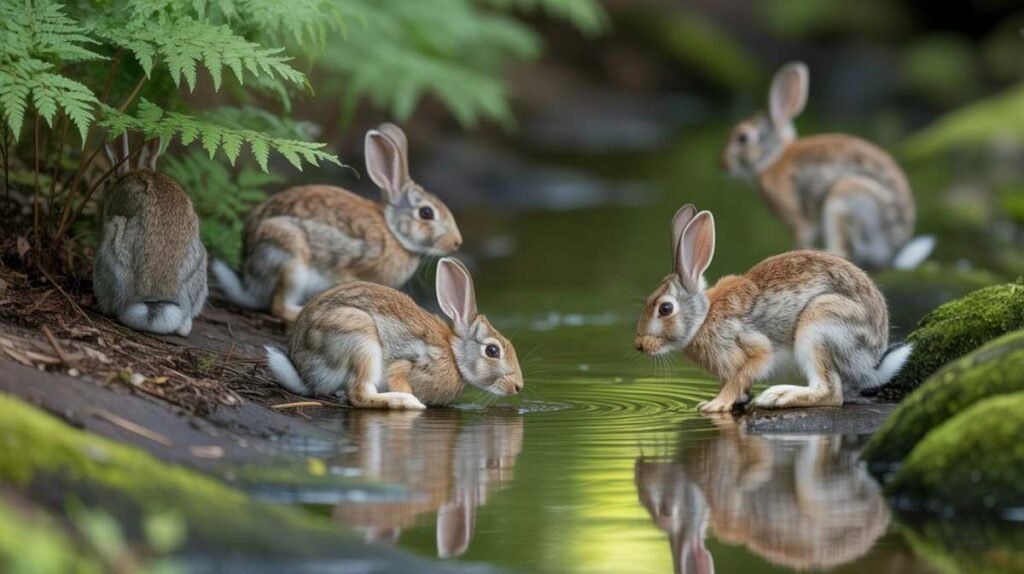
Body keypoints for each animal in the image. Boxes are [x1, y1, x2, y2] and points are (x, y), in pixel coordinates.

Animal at [213, 123, 463, 321]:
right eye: (426, 213)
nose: (456, 242)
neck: (393, 232)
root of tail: (249, 277)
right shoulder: (351, 264)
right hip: (290, 259)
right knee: (277, 306)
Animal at [264, 257, 523, 409]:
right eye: (492, 350)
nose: (518, 386)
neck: (454, 356)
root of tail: (304, 371)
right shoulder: (409, 363)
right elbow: (398, 373)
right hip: (361, 339)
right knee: (359, 393)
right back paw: (408, 402)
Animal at [633, 204, 912, 412]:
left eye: (665, 308)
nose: (639, 345)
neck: (703, 318)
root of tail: (872, 359)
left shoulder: (752, 347)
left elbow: (742, 374)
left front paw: (714, 404)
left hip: (820, 325)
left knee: (831, 393)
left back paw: (777, 397)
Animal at [721, 61, 935, 270]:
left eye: (743, 138)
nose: (723, 164)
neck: (774, 157)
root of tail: (890, 255)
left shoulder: (798, 220)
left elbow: (801, 237)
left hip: (845, 200)